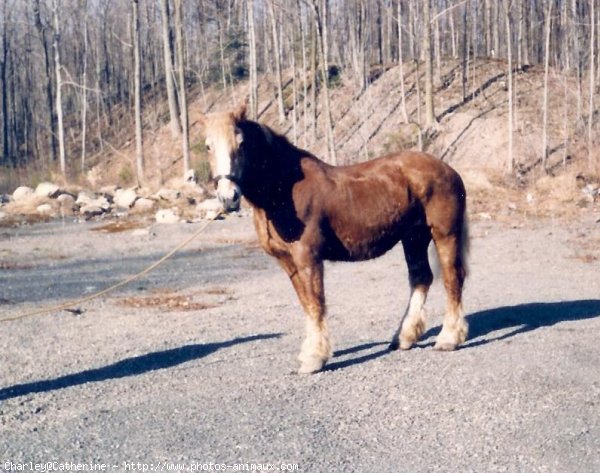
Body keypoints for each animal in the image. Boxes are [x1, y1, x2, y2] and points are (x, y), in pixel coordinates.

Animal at [200, 103, 468, 372]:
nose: (229, 197)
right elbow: (306, 303)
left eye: (241, 142)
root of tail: (448, 170)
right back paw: (404, 337)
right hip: (414, 237)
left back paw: (449, 338)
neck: (282, 190)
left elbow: (316, 302)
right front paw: (310, 352)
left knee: (452, 279)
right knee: (421, 278)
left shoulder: (308, 258)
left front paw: (314, 358)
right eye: (208, 146)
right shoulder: (288, 262)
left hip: (444, 234)